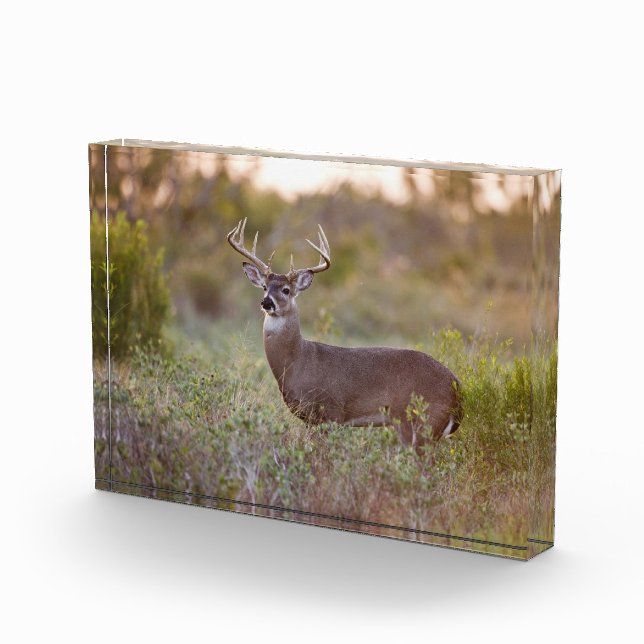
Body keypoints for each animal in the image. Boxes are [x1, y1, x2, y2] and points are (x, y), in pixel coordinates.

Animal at [227, 218, 463, 452]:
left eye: (286, 290)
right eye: (264, 287)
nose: (267, 302)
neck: (297, 361)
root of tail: (456, 386)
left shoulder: (331, 412)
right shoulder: (311, 419)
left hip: (420, 420)